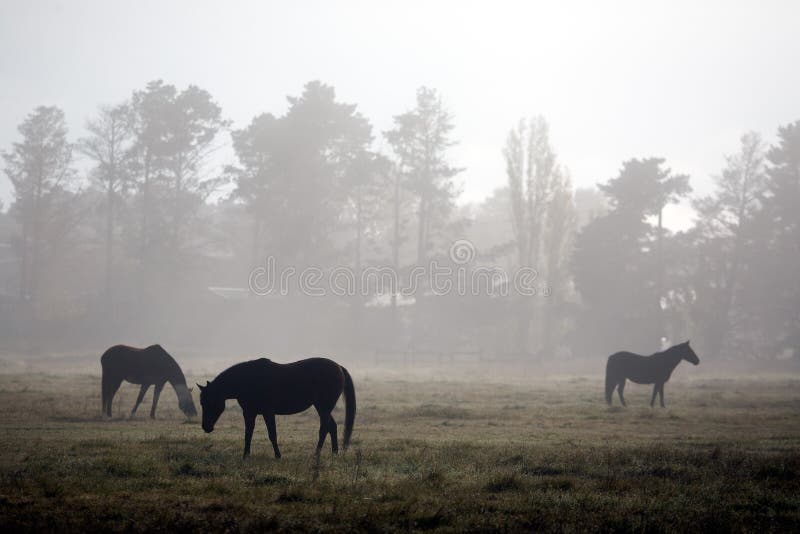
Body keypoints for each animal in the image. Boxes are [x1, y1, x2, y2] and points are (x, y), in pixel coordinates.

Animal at [197, 357, 356, 459]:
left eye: (208, 402)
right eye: (202, 402)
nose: (206, 427)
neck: (248, 379)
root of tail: (339, 367)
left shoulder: (268, 413)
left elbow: (272, 434)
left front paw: (278, 455)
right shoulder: (249, 413)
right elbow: (248, 433)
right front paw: (245, 455)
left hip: (323, 407)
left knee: (324, 428)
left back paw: (316, 454)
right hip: (322, 407)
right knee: (332, 426)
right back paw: (334, 453)